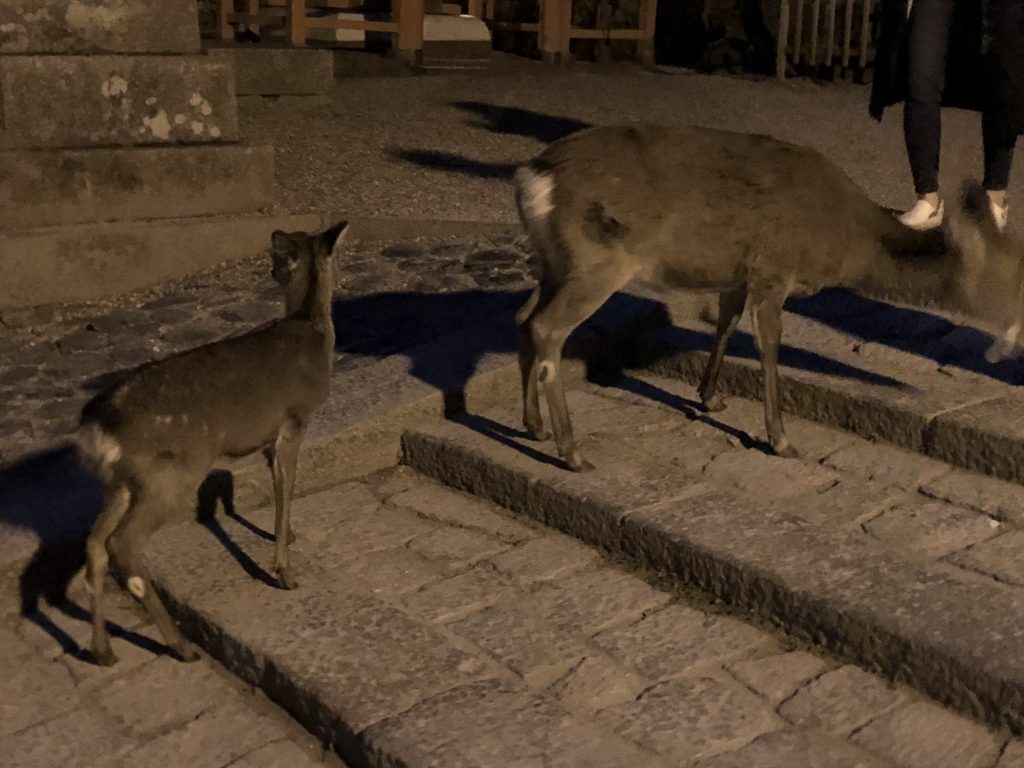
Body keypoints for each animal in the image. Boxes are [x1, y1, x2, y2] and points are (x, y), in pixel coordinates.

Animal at [76, 219, 348, 663]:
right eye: (275, 257)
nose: (268, 269)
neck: (311, 329)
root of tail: (95, 428)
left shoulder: (268, 436)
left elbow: (280, 489)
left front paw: (287, 536)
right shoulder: (295, 419)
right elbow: (289, 483)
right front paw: (285, 573)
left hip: (120, 482)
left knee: (95, 543)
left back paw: (103, 651)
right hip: (170, 472)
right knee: (123, 544)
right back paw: (181, 646)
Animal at [516, 123, 1019, 473]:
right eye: (1011, 271)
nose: (1015, 330)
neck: (847, 242)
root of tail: (531, 178)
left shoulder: (737, 275)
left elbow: (726, 323)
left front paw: (709, 398)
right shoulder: (773, 270)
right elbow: (769, 345)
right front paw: (780, 439)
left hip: (554, 263)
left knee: (524, 318)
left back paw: (535, 427)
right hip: (597, 261)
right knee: (548, 328)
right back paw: (572, 452)